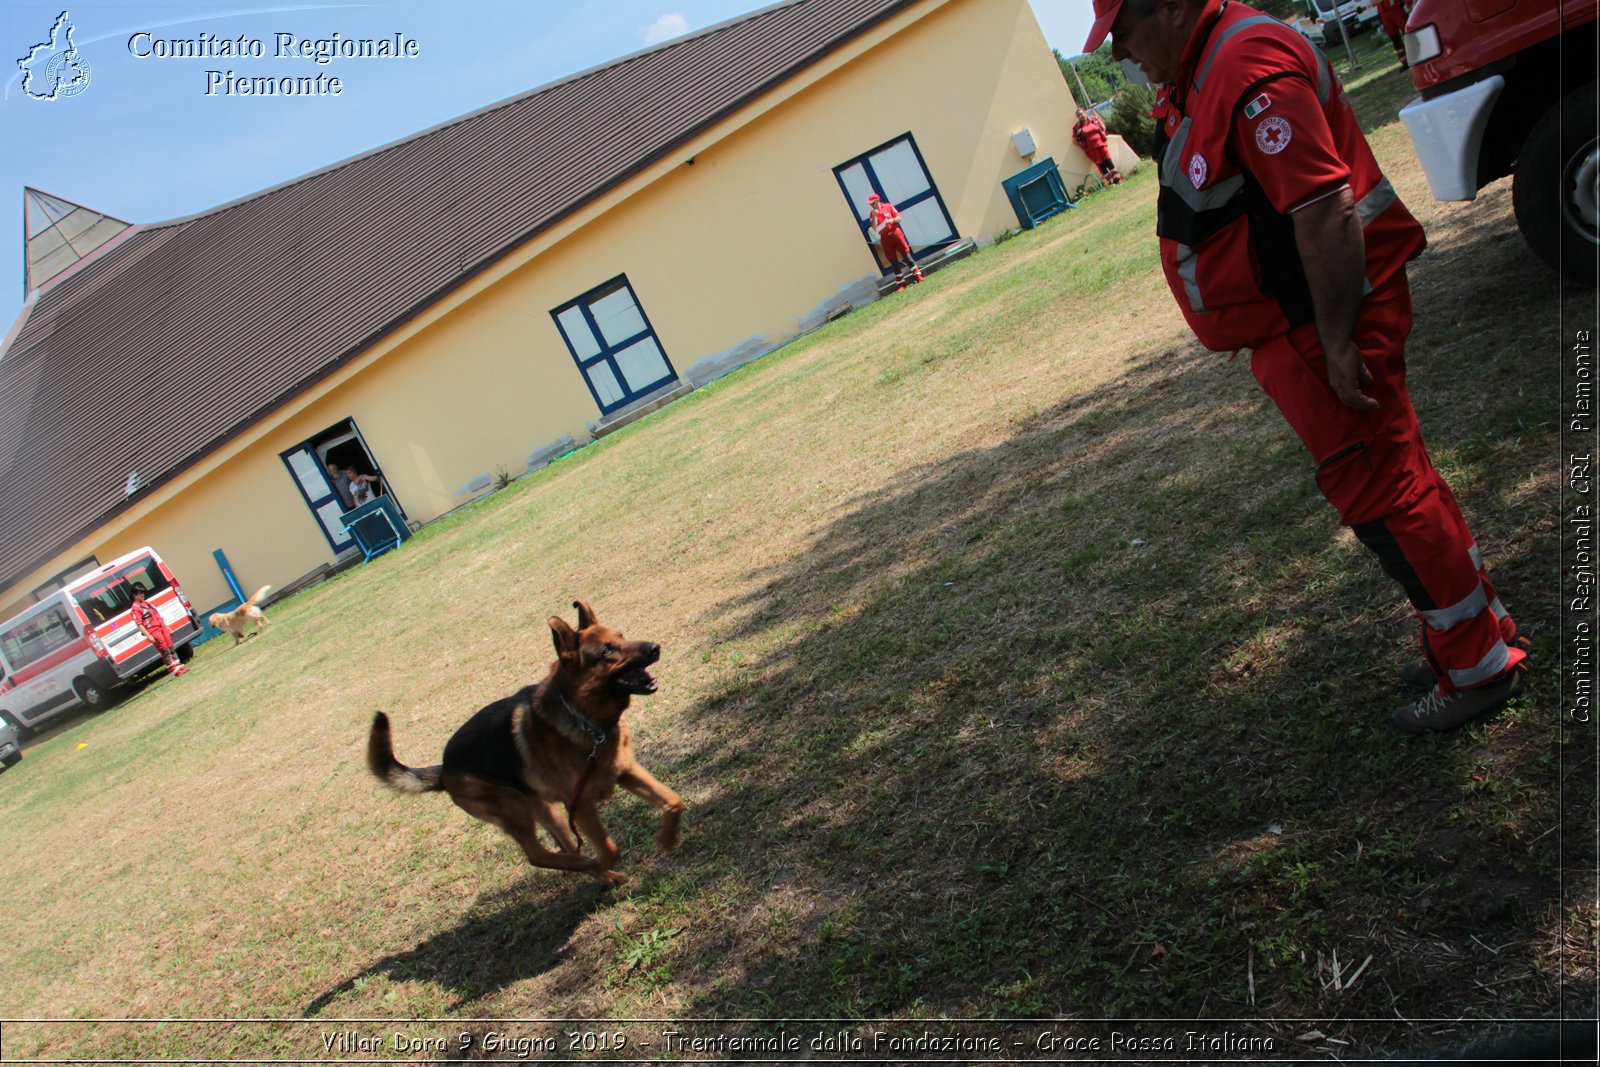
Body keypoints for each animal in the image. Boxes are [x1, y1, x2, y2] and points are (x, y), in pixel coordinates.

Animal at [366, 604, 684, 889]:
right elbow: (609, 848)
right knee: (538, 855)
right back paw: (587, 865)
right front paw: (602, 860)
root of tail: (444, 768)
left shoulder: (626, 772)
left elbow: (674, 801)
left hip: (547, 809)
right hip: (515, 809)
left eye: (621, 636)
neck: (587, 723)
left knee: (566, 846)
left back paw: (601, 875)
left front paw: (667, 839)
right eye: (607, 651)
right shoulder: (581, 804)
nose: (655, 648)